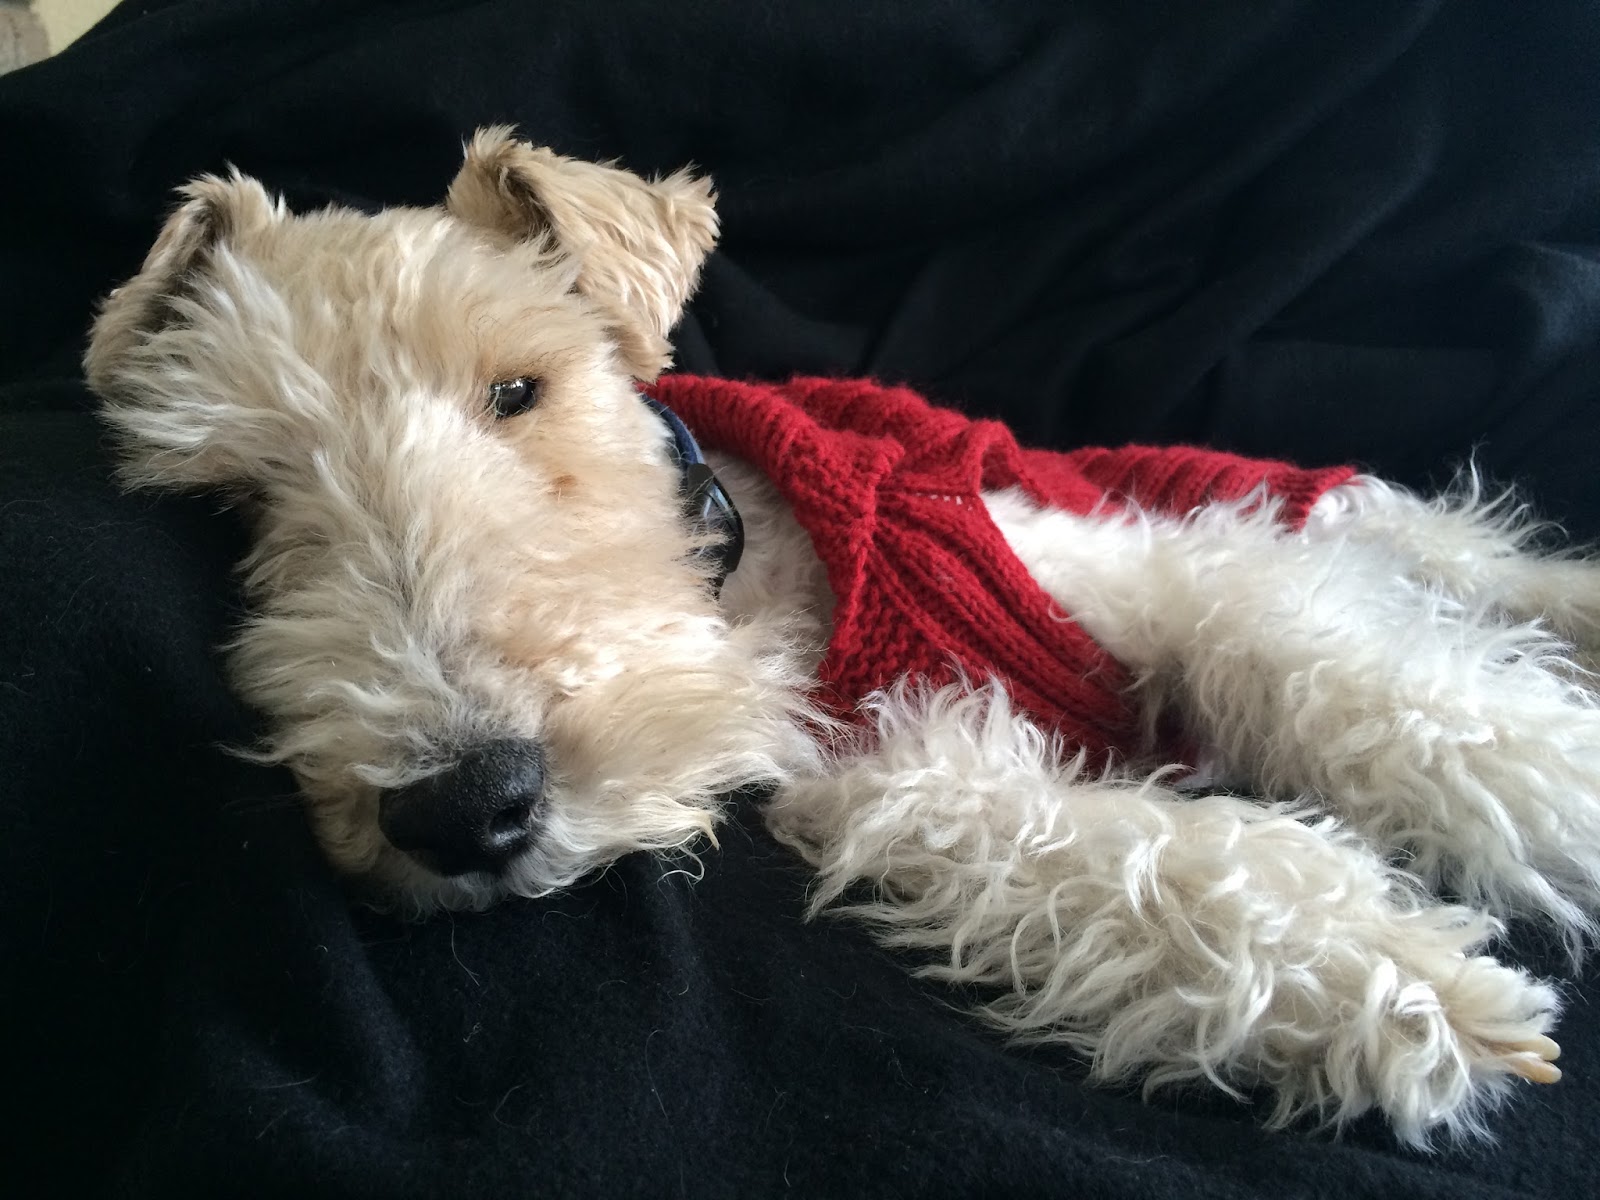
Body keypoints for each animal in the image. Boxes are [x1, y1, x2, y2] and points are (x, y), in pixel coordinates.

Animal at [86, 128, 1600, 1148]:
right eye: (232, 500)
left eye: (518, 389)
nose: (464, 807)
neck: (754, 587)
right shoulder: (865, 769)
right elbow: (1097, 851)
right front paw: (1394, 982)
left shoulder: (1147, 573)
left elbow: (1404, 701)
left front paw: (1552, 826)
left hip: (1326, 513)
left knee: (1472, 563)